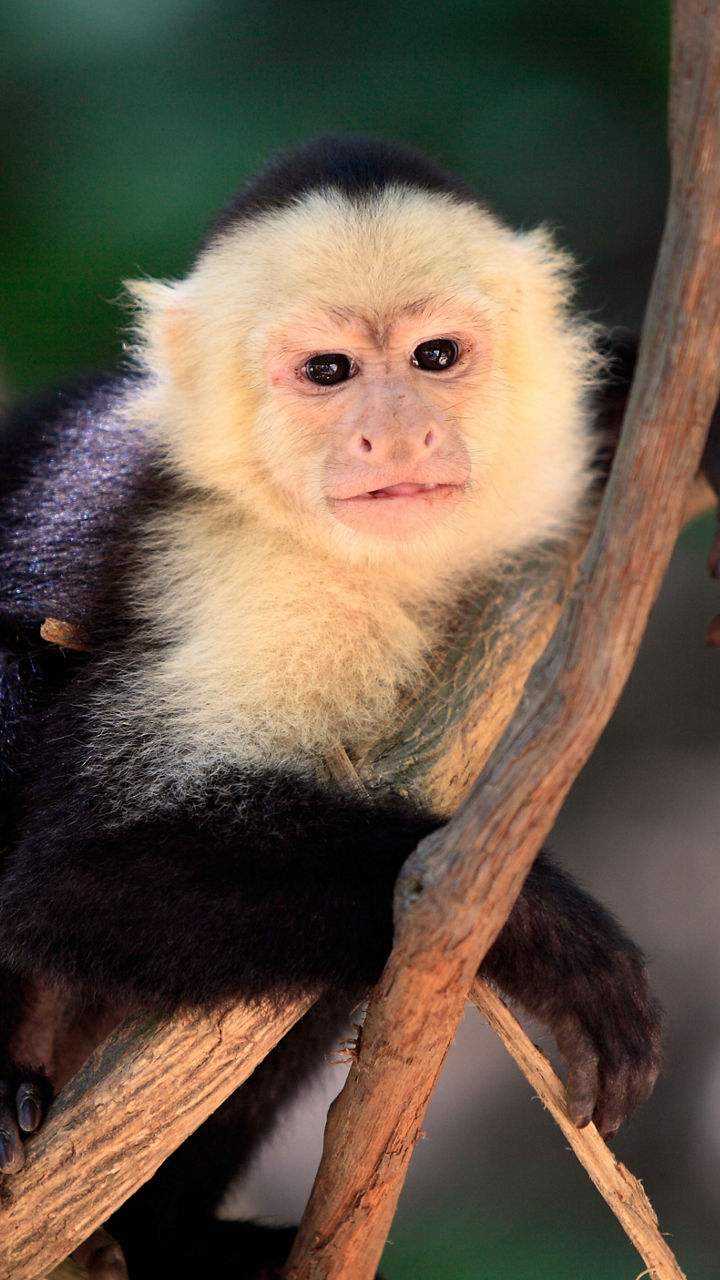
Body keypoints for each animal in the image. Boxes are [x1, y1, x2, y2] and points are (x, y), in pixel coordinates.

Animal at [0, 137, 662, 1279]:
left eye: (436, 357)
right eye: (329, 373)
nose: (394, 436)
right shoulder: (233, 566)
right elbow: (78, 878)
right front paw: (544, 931)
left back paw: (170, 1239)